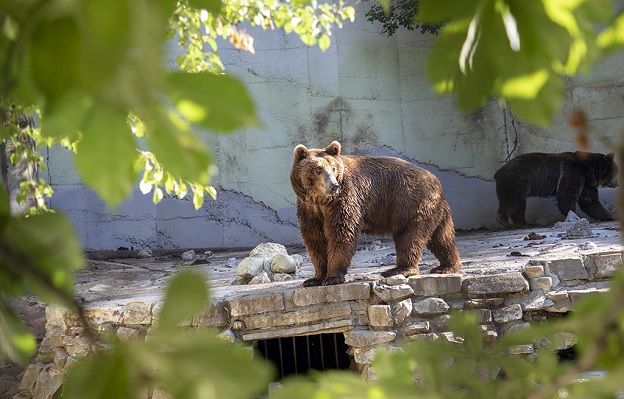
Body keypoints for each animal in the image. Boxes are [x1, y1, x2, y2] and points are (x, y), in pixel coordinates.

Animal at [290, 142, 460, 286]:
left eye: (333, 168)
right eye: (318, 169)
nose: (334, 185)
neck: (321, 200)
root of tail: (436, 181)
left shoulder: (344, 199)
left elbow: (341, 232)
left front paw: (332, 277)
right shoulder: (309, 209)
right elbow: (315, 238)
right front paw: (314, 279)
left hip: (410, 203)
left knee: (409, 237)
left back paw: (400, 269)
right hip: (431, 208)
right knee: (442, 237)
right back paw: (447, 266)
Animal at [492, 151, 620, 228]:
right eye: (616, 172)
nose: (617, 183)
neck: (588, 172)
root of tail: (498, 172)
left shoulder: (586, 184)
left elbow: (590, 201)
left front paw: (610, 216)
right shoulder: (572, 171)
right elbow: (567, 194)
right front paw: (572, 215)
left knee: (520, 204)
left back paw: (523, 223)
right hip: (517, 180)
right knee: (512, 199)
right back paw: (503, 220)